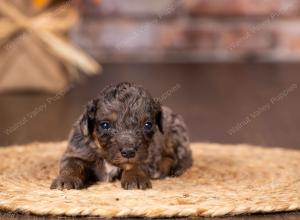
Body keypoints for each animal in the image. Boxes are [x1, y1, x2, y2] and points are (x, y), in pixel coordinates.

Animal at [50, 81, 192, 190]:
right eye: (105, 125)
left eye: (148, 124)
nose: (128, 152)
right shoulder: (76, 152)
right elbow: (72, 165)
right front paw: (66, 179)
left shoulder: (147, 156)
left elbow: (136, 164)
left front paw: (135, 177)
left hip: (177, 133)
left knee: (184, 157)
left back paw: (174, 169)